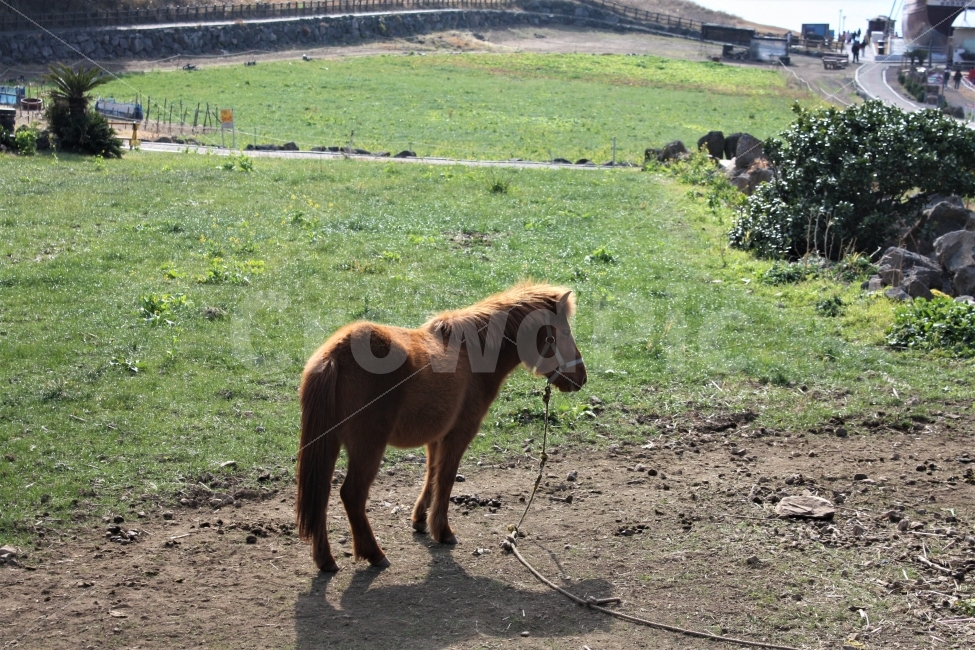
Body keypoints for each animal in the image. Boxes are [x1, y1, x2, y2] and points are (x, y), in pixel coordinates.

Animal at [296, 282, 588, 571]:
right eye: (563, 332)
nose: (581, 377)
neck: (470, 354)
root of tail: (335, 356)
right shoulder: (459, 433)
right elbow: (446, 479)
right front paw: (443, 531)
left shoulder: (436, 437)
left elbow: (432, 475)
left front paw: (420, 520)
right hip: (368, 447)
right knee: (352, 495)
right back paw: (374, 553)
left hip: (329, 444)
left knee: (320, 494)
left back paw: (325, 559)